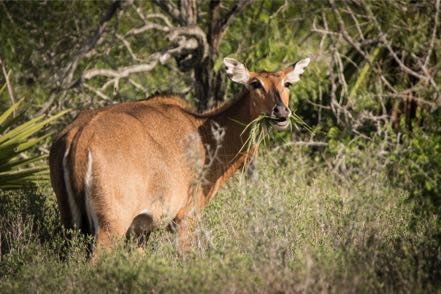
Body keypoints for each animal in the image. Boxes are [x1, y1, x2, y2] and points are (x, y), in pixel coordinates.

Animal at [49, 56, 310, 253]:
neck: (205, 132)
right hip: (110, 226)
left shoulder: (140, 229)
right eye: (255, 83)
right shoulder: (186, 217)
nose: (281, 112)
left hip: (71, 224)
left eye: (287, 84)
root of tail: (80, 137)